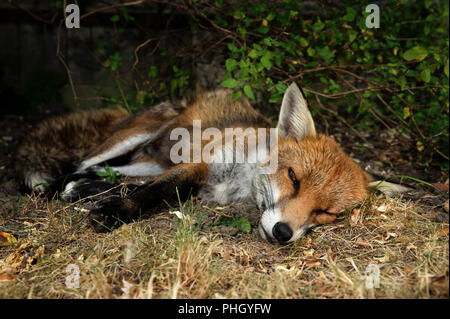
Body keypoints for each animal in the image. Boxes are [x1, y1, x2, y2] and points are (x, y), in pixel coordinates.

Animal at [12, 83, 400, 245]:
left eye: (326, 213)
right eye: (293, 177)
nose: (283, 233)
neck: (242, 178)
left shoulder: (201, 186)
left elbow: (148, 191)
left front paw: (101, 201)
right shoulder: (198, 165)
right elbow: (152, 195)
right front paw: (112, 215)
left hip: (142, 163)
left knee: (99, 174)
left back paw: (78, 189)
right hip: (129, 140)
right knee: (76, 165)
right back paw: (51, 188)